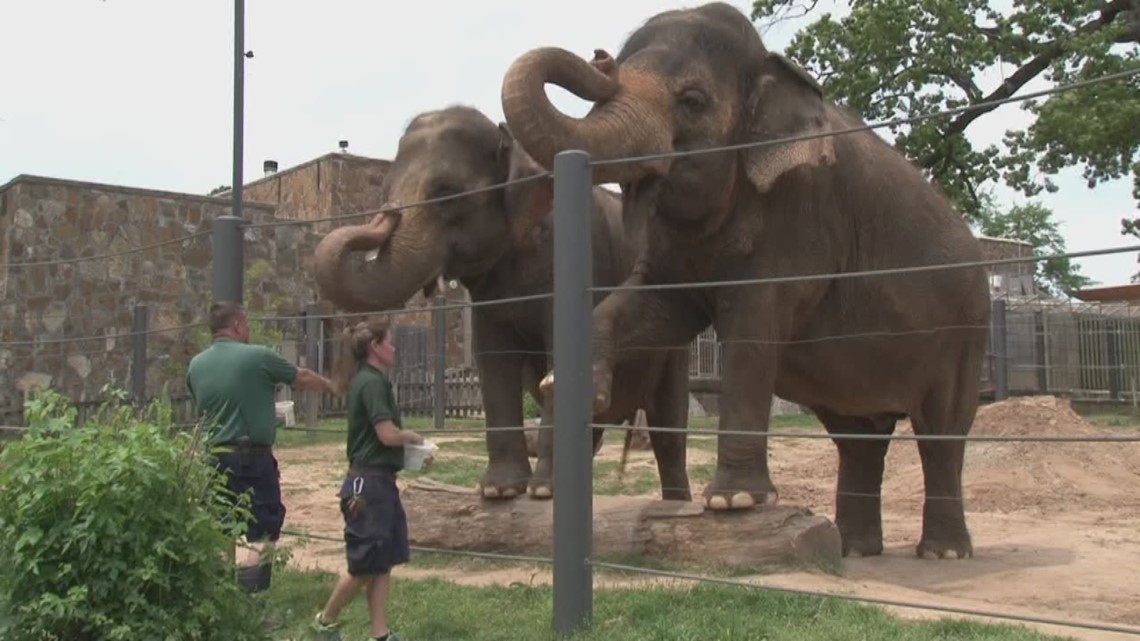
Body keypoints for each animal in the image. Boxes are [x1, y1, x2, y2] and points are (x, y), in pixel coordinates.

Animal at [312, 105, 692, 502]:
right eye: (384, 191)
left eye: (446, 193)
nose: (386, 213)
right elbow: (493, 358)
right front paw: (499, 491)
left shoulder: (576, 257)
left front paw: (541, 492)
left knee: (669, 428)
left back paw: (675, 504)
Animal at [499, 2, 991, 559]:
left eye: (692, 101)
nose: (600, 59)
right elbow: (647, 309)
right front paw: (570, 387)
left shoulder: (800, 216)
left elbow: (753, 331)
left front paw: (733, 503)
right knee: (858, 437)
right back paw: (852, 548)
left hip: (964, 332)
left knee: (941, 432)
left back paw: (942, 552)